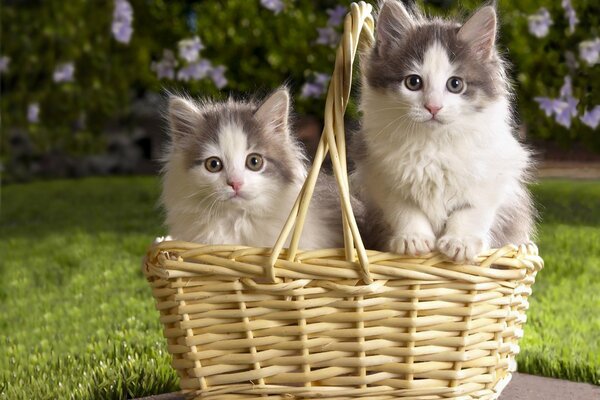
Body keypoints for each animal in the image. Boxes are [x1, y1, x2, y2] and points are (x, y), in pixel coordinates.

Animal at [352, 0, 536, 262]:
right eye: (413, 82)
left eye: (455, 84)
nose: (433, 107)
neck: (433, 143)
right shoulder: (381, 175)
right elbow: (404, 209)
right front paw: (413, 239)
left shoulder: (493, 176)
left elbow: (471, 209)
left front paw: (461, 242)